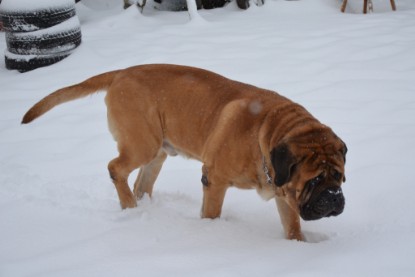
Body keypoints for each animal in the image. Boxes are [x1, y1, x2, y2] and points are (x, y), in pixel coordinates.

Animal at [22, 63, 348, 238]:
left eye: (339, 177)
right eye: (315, 180)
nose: (334, 197)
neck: (267, 133)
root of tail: (121, 72)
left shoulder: (284, 195)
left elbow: (292, 226)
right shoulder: (215, 179)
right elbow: (212, 213)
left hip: (157, 153)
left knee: (141, 182)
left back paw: (140, 206)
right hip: (142, 144)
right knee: (115, 168)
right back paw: (129, 207)